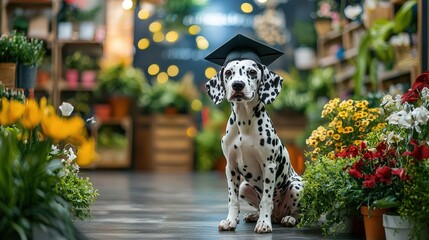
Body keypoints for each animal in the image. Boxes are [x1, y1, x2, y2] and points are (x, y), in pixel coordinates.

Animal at [206, 59, 302, 233]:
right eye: (228, 72)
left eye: (252, 72)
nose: (238, 85)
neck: (244, 123)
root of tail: (278, 215)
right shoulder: (230, 167)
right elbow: (233, 199)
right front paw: (230, 221)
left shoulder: (269, 166)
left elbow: (266, 200)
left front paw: (264, 223)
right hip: (244, 187)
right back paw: (254, 216)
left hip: (296, 187)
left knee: (300, 213)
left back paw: (288, 218)